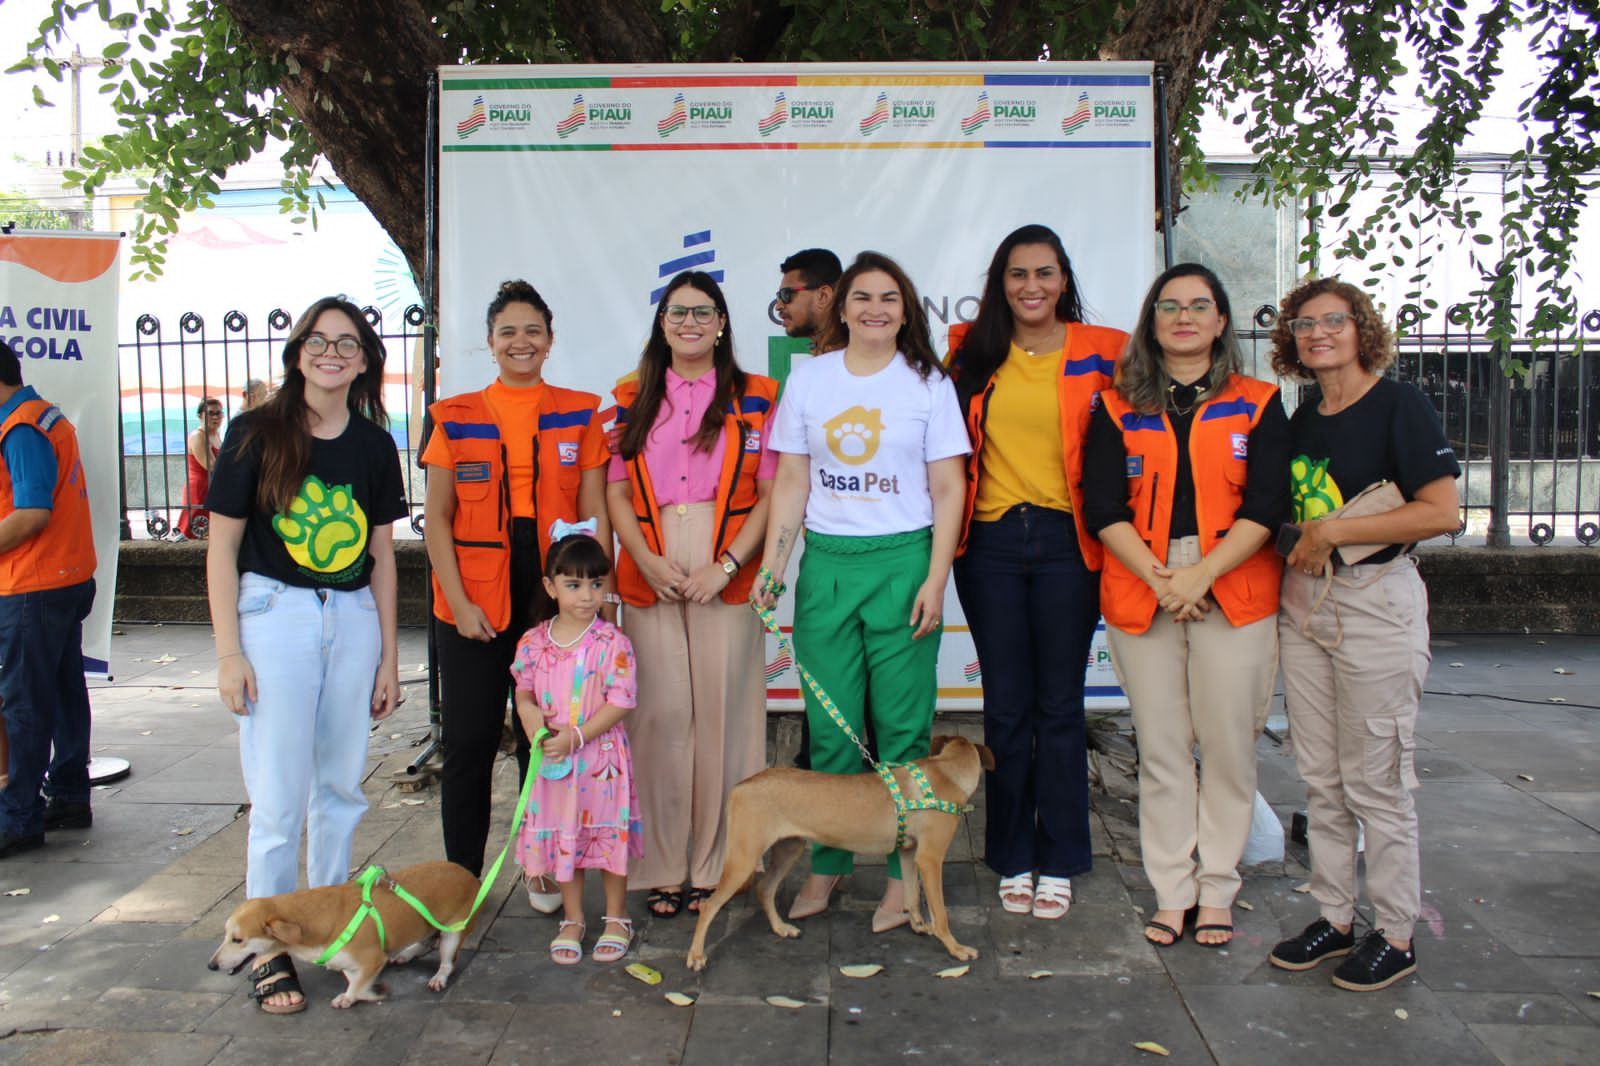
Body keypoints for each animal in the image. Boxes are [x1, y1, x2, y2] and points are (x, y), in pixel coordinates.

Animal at [209, 857, 476, 1005]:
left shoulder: (372, 959)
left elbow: (357, 985)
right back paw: (406, 953)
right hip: (426, 924)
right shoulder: (349, 961)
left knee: (447, 962)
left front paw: (354, 997)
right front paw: (363, 991)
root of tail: (471, 876)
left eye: (237, 939)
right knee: (426, 940)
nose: (211, 965)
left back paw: (439, 977)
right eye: (225, 934)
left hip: (453, 934)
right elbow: (352, 977)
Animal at [684, 736, 992, 966]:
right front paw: (955, 947)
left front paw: (917, 923)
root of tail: (741, 786)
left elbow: (911, 894)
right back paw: (696, 955)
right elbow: (941, 914)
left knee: (764, 889)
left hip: (789, 849)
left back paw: (781, 928)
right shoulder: (930, 859)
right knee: (710, 905)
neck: (945, 772)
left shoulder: (908, 853)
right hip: (744, 859)